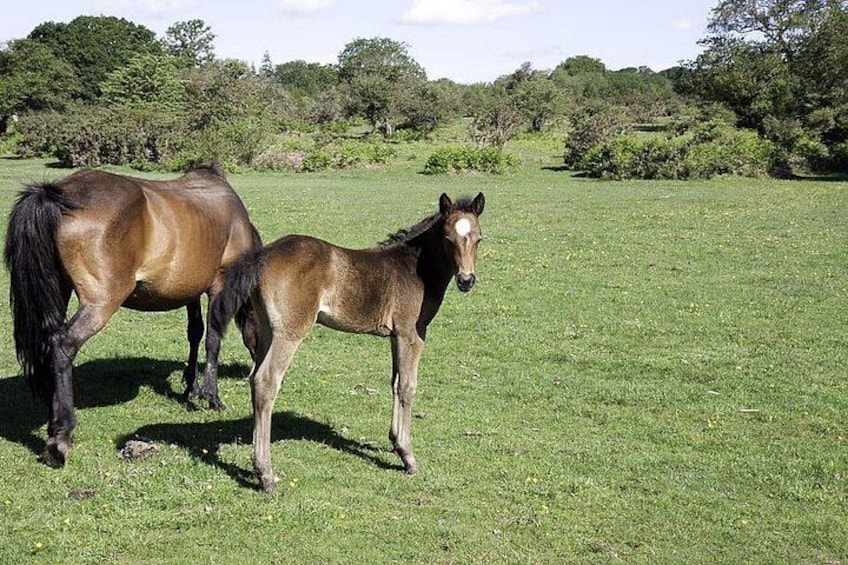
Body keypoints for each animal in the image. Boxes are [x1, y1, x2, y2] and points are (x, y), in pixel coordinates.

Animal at [4, 165, 261, 468]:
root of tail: (55, 193)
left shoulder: (191, 290)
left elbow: (195, 333)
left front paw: (191, 387)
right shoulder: (219, 285)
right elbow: (213, 338)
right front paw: (212, 396)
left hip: (58, 291)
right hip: (101, 303)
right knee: (63, 345)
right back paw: (61, 437)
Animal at [207, 192, 485, 493]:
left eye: (479, 238)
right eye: (447, 238)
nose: (466, 280)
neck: (415, 268)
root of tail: (263, 254)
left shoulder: (395, 336)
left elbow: (395, 383)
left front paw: (395, 442)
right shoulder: (412, 333)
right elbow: (408, 388)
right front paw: (408, 457)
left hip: (268, 329)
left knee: (254, 378)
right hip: (289, 333)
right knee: (266, 382)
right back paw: (265, 474)